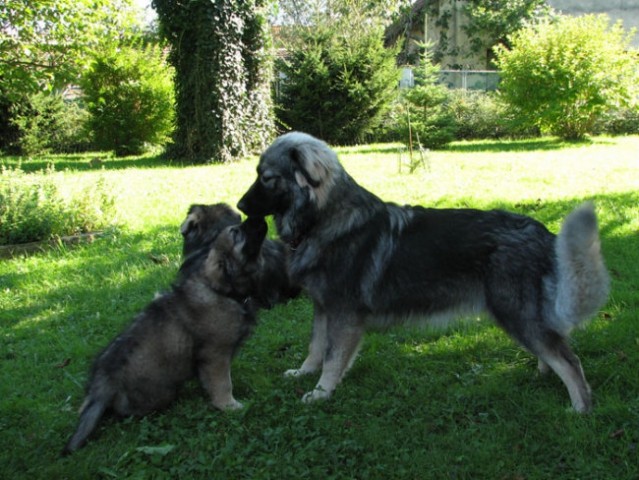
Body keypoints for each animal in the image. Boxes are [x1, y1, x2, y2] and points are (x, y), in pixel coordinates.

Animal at [65, 218, 272, 454]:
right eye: (236, 233)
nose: (259, 218)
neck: (222, 291)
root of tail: (103, 386)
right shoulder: (215, 355)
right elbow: (223, 383)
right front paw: (229, 405)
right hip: (158, 392)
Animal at [239, 130, 608, 412]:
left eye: (267, 178)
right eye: (257, 174)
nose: (240, 206)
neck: (324, 219)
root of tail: (545, 234)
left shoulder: (344, 314)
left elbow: (332, 357)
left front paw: (321, 392)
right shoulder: (323, 308)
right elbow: (316, 347)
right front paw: (304, 374)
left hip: (515, 313)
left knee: (569, 359)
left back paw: (581, 407)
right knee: (553, 346)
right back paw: (544, 373)